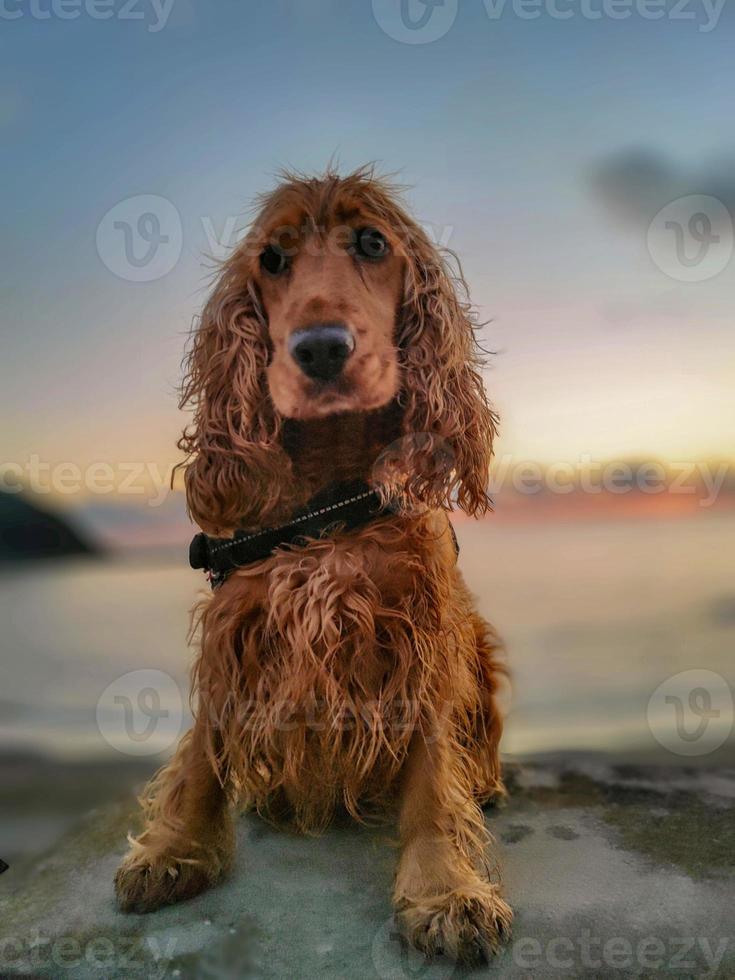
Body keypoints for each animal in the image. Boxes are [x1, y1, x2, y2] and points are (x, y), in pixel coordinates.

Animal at [115, 168, 516, 964]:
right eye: (271, 259)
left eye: (372, 243)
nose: (321, 348)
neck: (330, 497)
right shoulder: (237, 625)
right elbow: (202, 751)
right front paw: (173, 849)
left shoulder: (421, 633)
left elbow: (432, 779)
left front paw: (444, 891)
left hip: (478, 646)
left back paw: (482, 783)